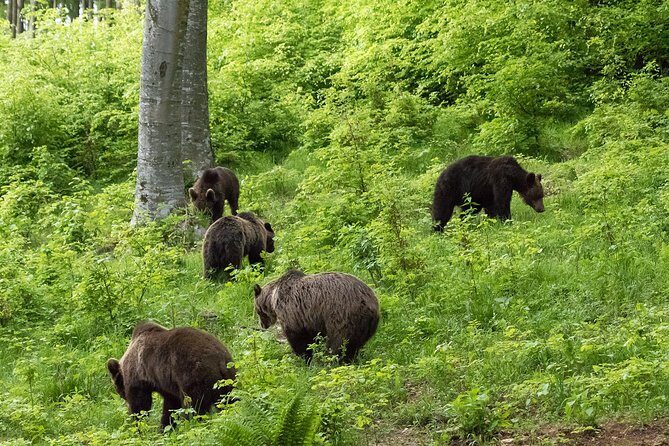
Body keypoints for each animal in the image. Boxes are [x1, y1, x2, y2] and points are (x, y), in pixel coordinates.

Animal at [106, 322, 236, 430]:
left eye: (117, 388)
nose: (123, 398)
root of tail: (220, 360)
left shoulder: (139, 376)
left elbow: (140, 404)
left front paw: (138, 425)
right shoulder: (167, 385)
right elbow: (171, 406)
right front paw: (165, 428)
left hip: (194, 375)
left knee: (194, 406)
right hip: (228, 380)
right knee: (229, 401)